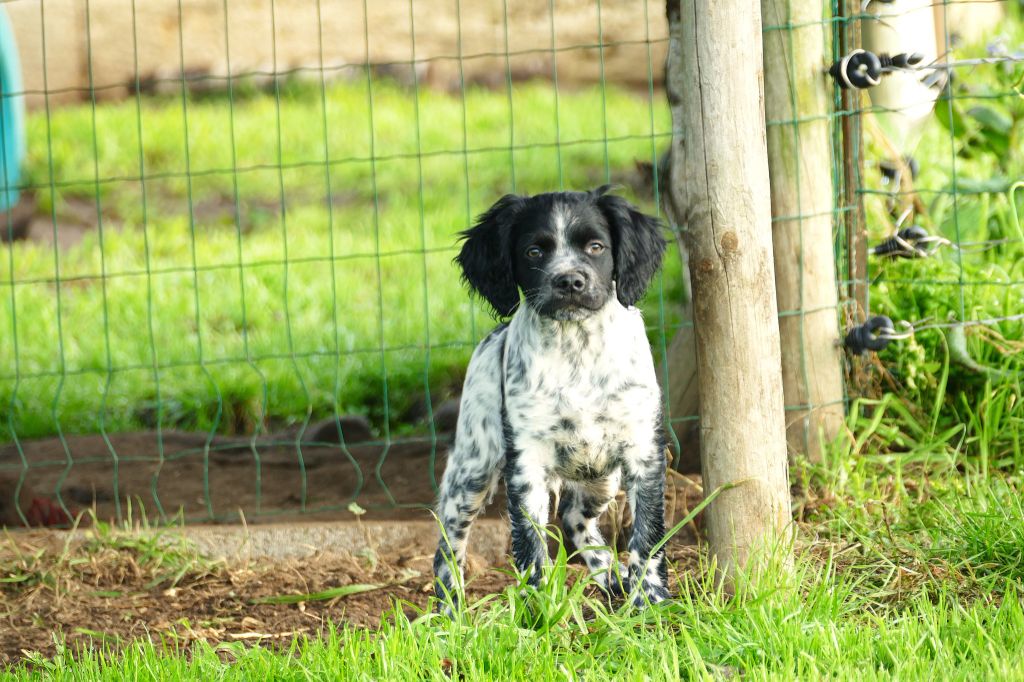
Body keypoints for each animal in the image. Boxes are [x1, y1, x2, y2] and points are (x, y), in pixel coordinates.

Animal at [434, 184, 667, 606]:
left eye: (595, 246)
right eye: (533, 252)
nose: (570, 281)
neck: (576, 349)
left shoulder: (644, 450)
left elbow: (648, 536)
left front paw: (652, 602)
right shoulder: (527, 461)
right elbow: (530, 547)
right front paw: (538, 610)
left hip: (602, 477)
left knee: (574, 516)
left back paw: (612, 576)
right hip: (472, 469)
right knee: (448, 541)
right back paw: (449, 609)